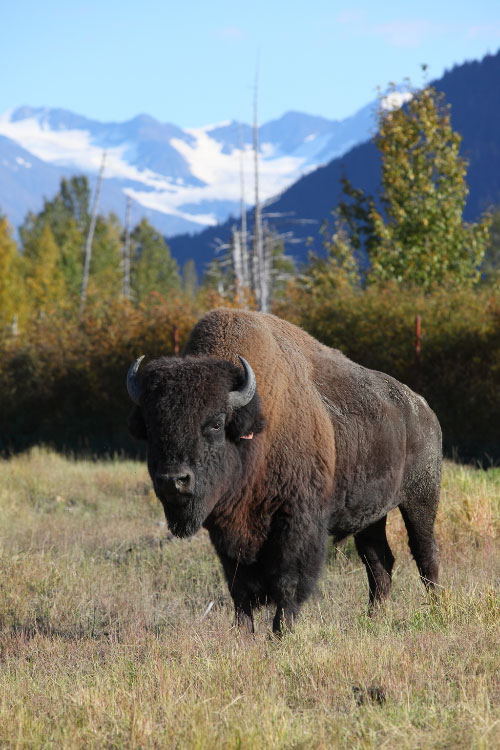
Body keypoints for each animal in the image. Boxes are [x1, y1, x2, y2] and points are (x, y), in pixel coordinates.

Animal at [127, 309, 442, 634]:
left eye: (215, 423)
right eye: (151, 426)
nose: (173, 480)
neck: (257, 425)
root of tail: (422, 408)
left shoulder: (297, 522)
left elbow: (288, 581)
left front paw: (282, 632)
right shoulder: (226, 530)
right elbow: (238, 586)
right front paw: (243, 633)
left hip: (421, 498)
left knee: (425, 553)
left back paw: (436, 610)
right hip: (372, 516)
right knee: (379, 561)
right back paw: (374, 618)